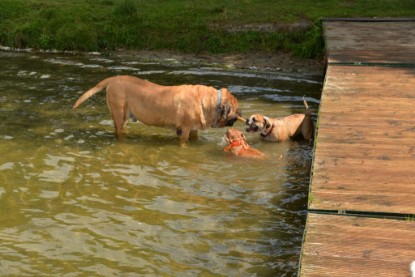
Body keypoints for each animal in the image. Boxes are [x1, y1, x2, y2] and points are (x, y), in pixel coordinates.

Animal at [71, 75, 240, 144]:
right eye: (236, 109)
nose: (241, 114)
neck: (212, 102)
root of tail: (114, 78)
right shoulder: (184, 130)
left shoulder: (193, 130)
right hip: (118, 112)